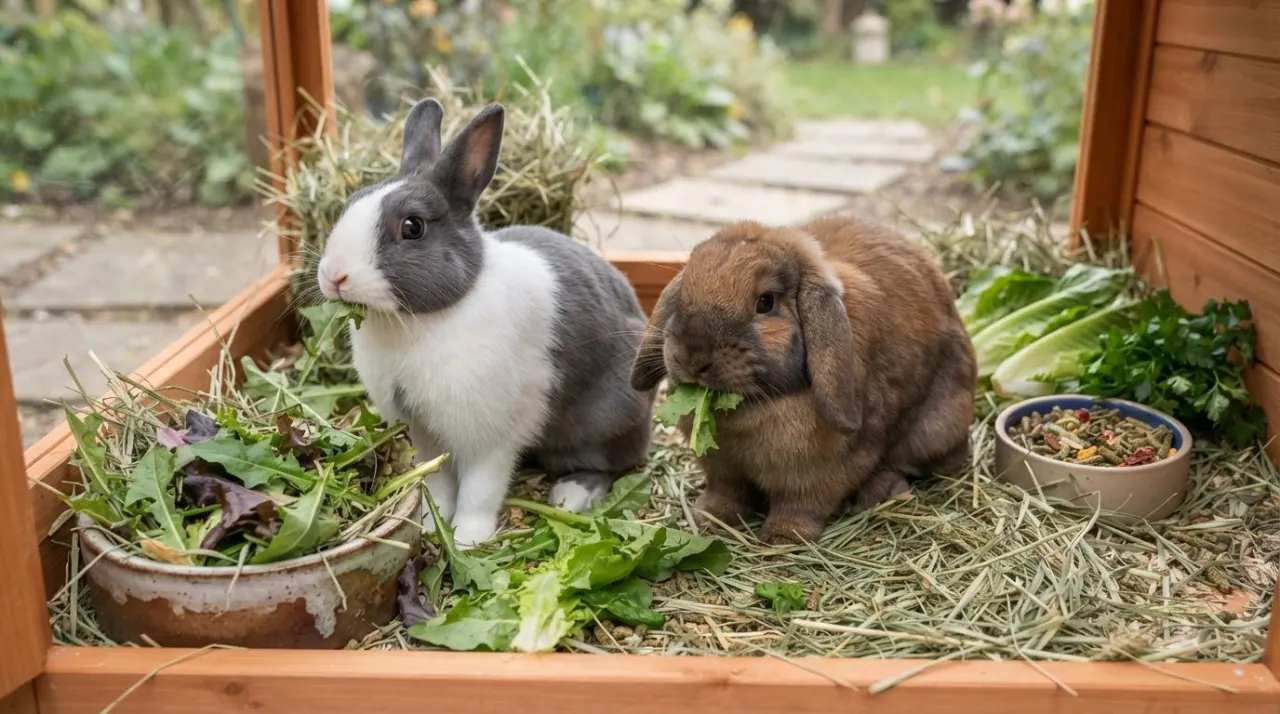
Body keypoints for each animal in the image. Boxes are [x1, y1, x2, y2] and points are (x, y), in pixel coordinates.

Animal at [315, 98, 656, 548]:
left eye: (412, 227)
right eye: (349, 203)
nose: (334, 275)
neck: (425, 318)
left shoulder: (490, 438)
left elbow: (479, 490)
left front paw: (466, 539)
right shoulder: (424, 434)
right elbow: (437, 480)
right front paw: (431, 522)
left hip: (606, 419)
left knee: (612, 462)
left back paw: (570, 494)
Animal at [629, 215, 976, 545]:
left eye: (765, 302)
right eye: (686, 288)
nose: (693, 357)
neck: (758, 403)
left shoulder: (822, 472)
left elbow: (802, 504)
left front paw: (783, 538)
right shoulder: (722, 468)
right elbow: (726, 493)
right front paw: (708, 517)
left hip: (935, 428)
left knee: (910, 463)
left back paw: (879, 491)